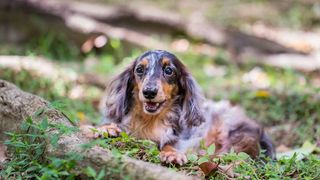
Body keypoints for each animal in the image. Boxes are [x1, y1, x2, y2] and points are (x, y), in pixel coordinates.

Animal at [82, 50, 276, 165]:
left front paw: (172, 154)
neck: (150, 121)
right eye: (139, 69)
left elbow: (170, 143)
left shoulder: (184, 138)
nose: (149, 92)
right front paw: (101, 128)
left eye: (169, 71)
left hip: (234, 132)